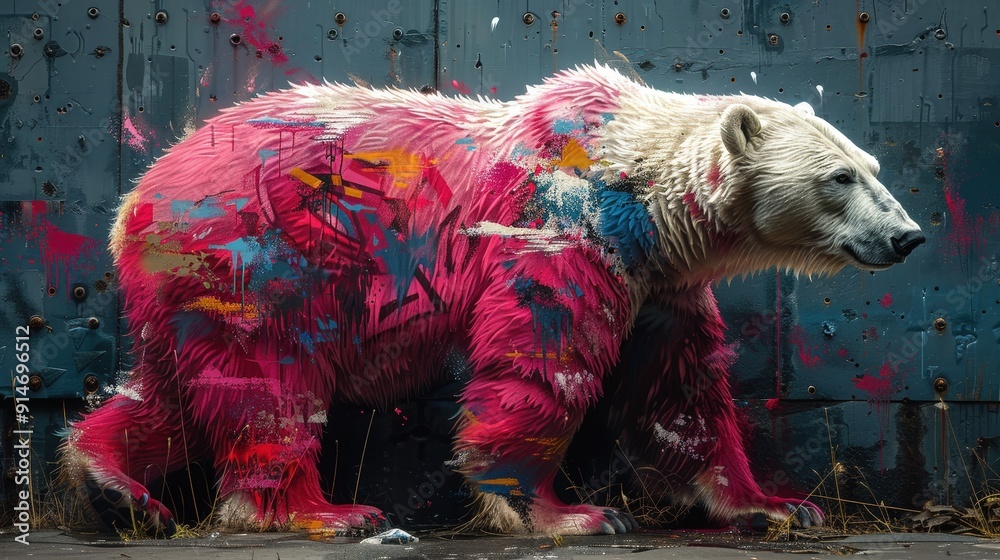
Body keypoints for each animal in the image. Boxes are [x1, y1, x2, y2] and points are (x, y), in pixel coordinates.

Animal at [60, 64, 924, 536]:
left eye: (872, 165)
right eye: (840, 177)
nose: (909, 235)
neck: (639, 196)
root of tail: (135, 197)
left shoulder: (663, 282)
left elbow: (680, 394)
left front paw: (774, 504)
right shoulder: (560, 227)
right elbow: (543, 359)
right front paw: (569, 513)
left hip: (186, 285)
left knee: (173, 390)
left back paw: (111, 483)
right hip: (261, 254)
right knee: (269, 386)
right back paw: (329, 513)